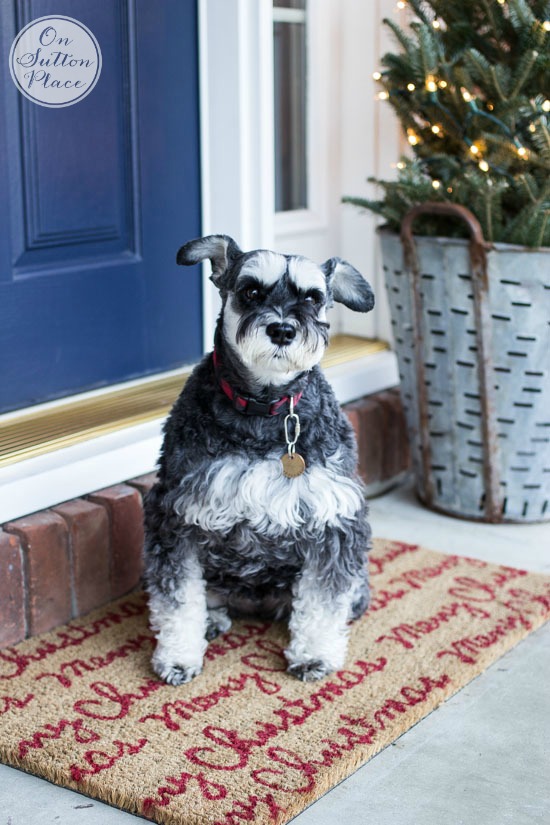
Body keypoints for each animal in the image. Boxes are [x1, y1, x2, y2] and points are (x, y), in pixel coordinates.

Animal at [143, 233, 376, 684]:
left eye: (313, 297)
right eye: (250, 291)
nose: (283, 330)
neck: (265, 409)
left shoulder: (333, 519)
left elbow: (322, 601)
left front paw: (314, 655)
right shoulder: (175, 516)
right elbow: (178, 598)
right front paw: (178, 657)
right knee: (208, 596)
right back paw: (212, 621)